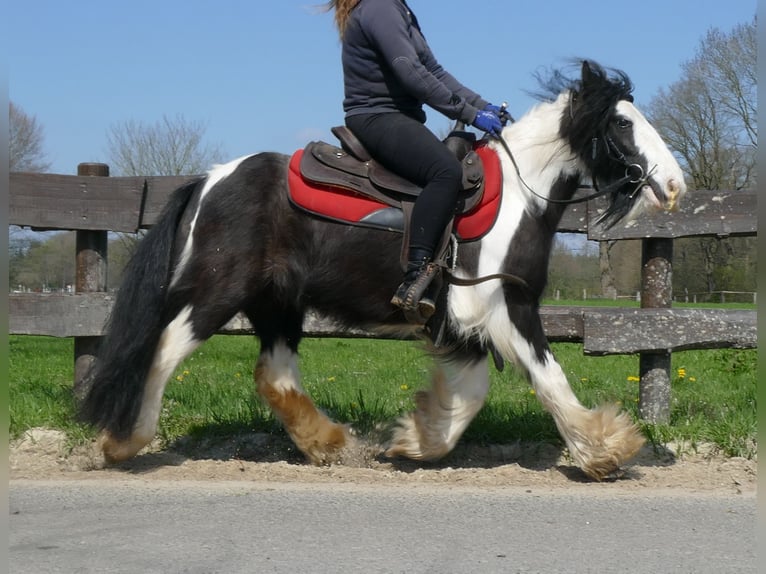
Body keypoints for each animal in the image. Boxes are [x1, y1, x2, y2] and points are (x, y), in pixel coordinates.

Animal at [81, 59, 688, 482]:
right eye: (621, 123)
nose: (674, 185)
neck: (520, 193)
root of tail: (209, 181)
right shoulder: (504, 307)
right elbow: (550, 379)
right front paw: (605, 451)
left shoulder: (462, 322)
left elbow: (470, 396)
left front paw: (415, 439)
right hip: (216, 293)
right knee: (164, 350)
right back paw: (123, 442)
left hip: (277, 302)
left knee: (273, 373)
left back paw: (329, 444)